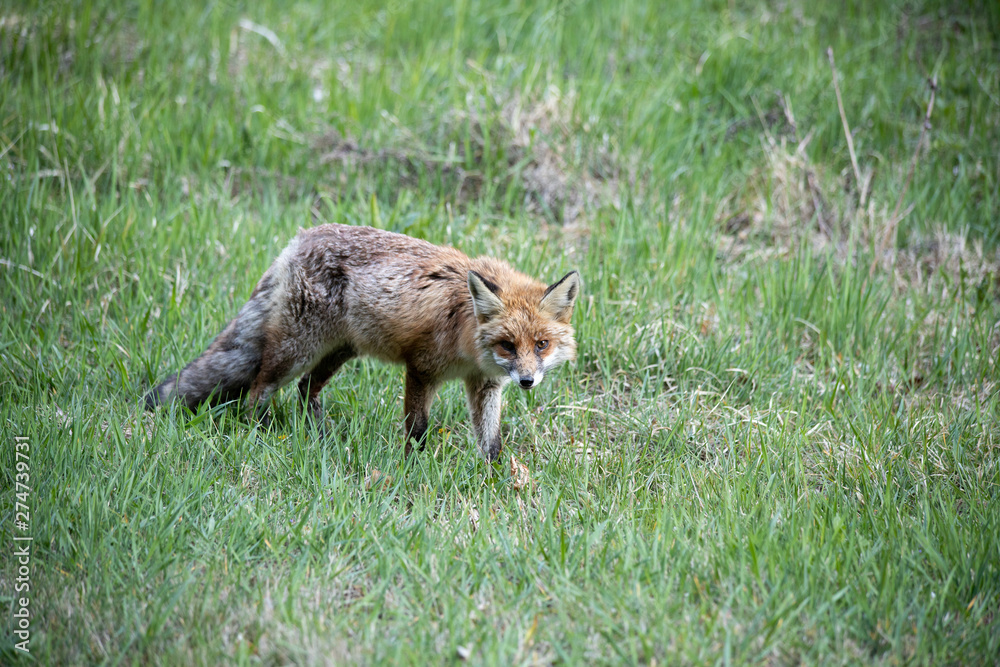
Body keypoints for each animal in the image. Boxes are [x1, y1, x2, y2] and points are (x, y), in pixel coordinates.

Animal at [145, 223, 581, 462]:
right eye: (508, 345)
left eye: (540, 344)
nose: (527, 381)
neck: (466, 341)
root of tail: (298, 240)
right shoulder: (421, 368)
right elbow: (417, 428)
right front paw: (412, 468)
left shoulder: (485, 384)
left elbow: (491, 441)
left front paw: (496, 479)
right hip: (297, 350)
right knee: (258, 389)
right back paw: (261, 432)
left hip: (340, 351)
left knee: (305, 391)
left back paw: (318, 438)